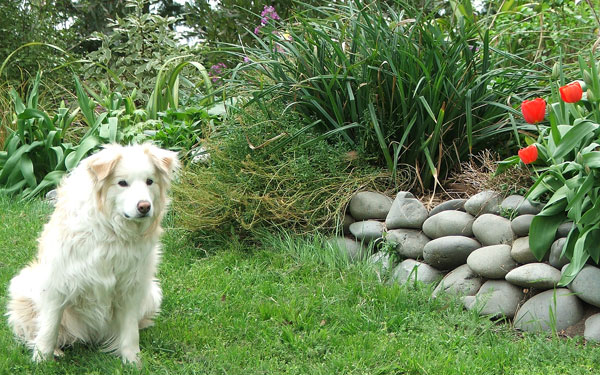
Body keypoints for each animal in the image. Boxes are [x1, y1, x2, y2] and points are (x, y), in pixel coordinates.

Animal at [5, 144, 178, 368]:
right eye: (122, 183)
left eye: (150, 181)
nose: (144, 207)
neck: (112, 232)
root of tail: (91, 336)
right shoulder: (57, 283)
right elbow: (49, 327)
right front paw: (42, 359)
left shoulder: (132, 287)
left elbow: (130, 332)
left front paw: (132, 361)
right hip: (25, 284)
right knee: (34, 331)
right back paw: (56, 350)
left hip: (153, 294)